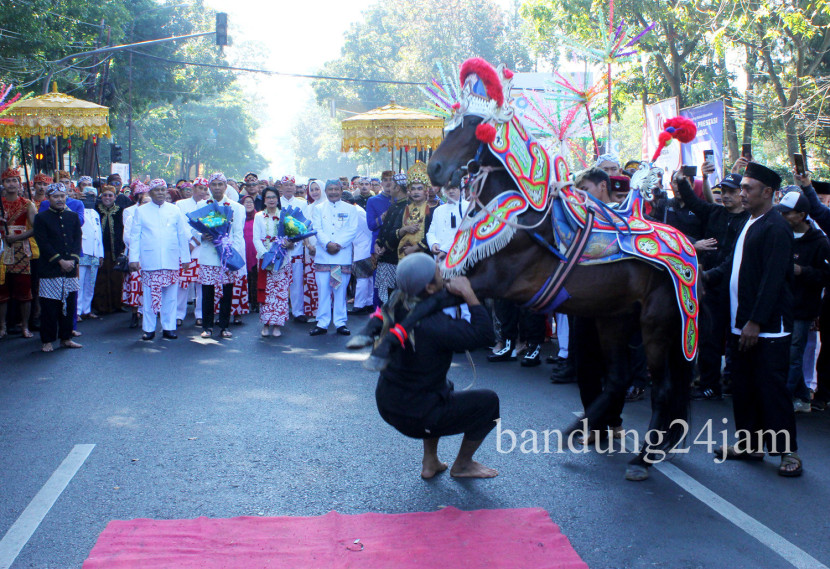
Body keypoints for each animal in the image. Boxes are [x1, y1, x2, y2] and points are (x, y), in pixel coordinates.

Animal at [350, 57, 696, 482]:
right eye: (452, 124)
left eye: (473, 125)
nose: (435, 169)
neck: (524, 216)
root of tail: (686, 245)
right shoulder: (464, 266)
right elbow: (408, 291)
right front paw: (369, 331)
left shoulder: (494, 283)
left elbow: (429, 304)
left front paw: (384, 347)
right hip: (613, 316)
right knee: (615, 378)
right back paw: (576, 431)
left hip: (657, 324)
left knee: (661, 389)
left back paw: (642, 457)